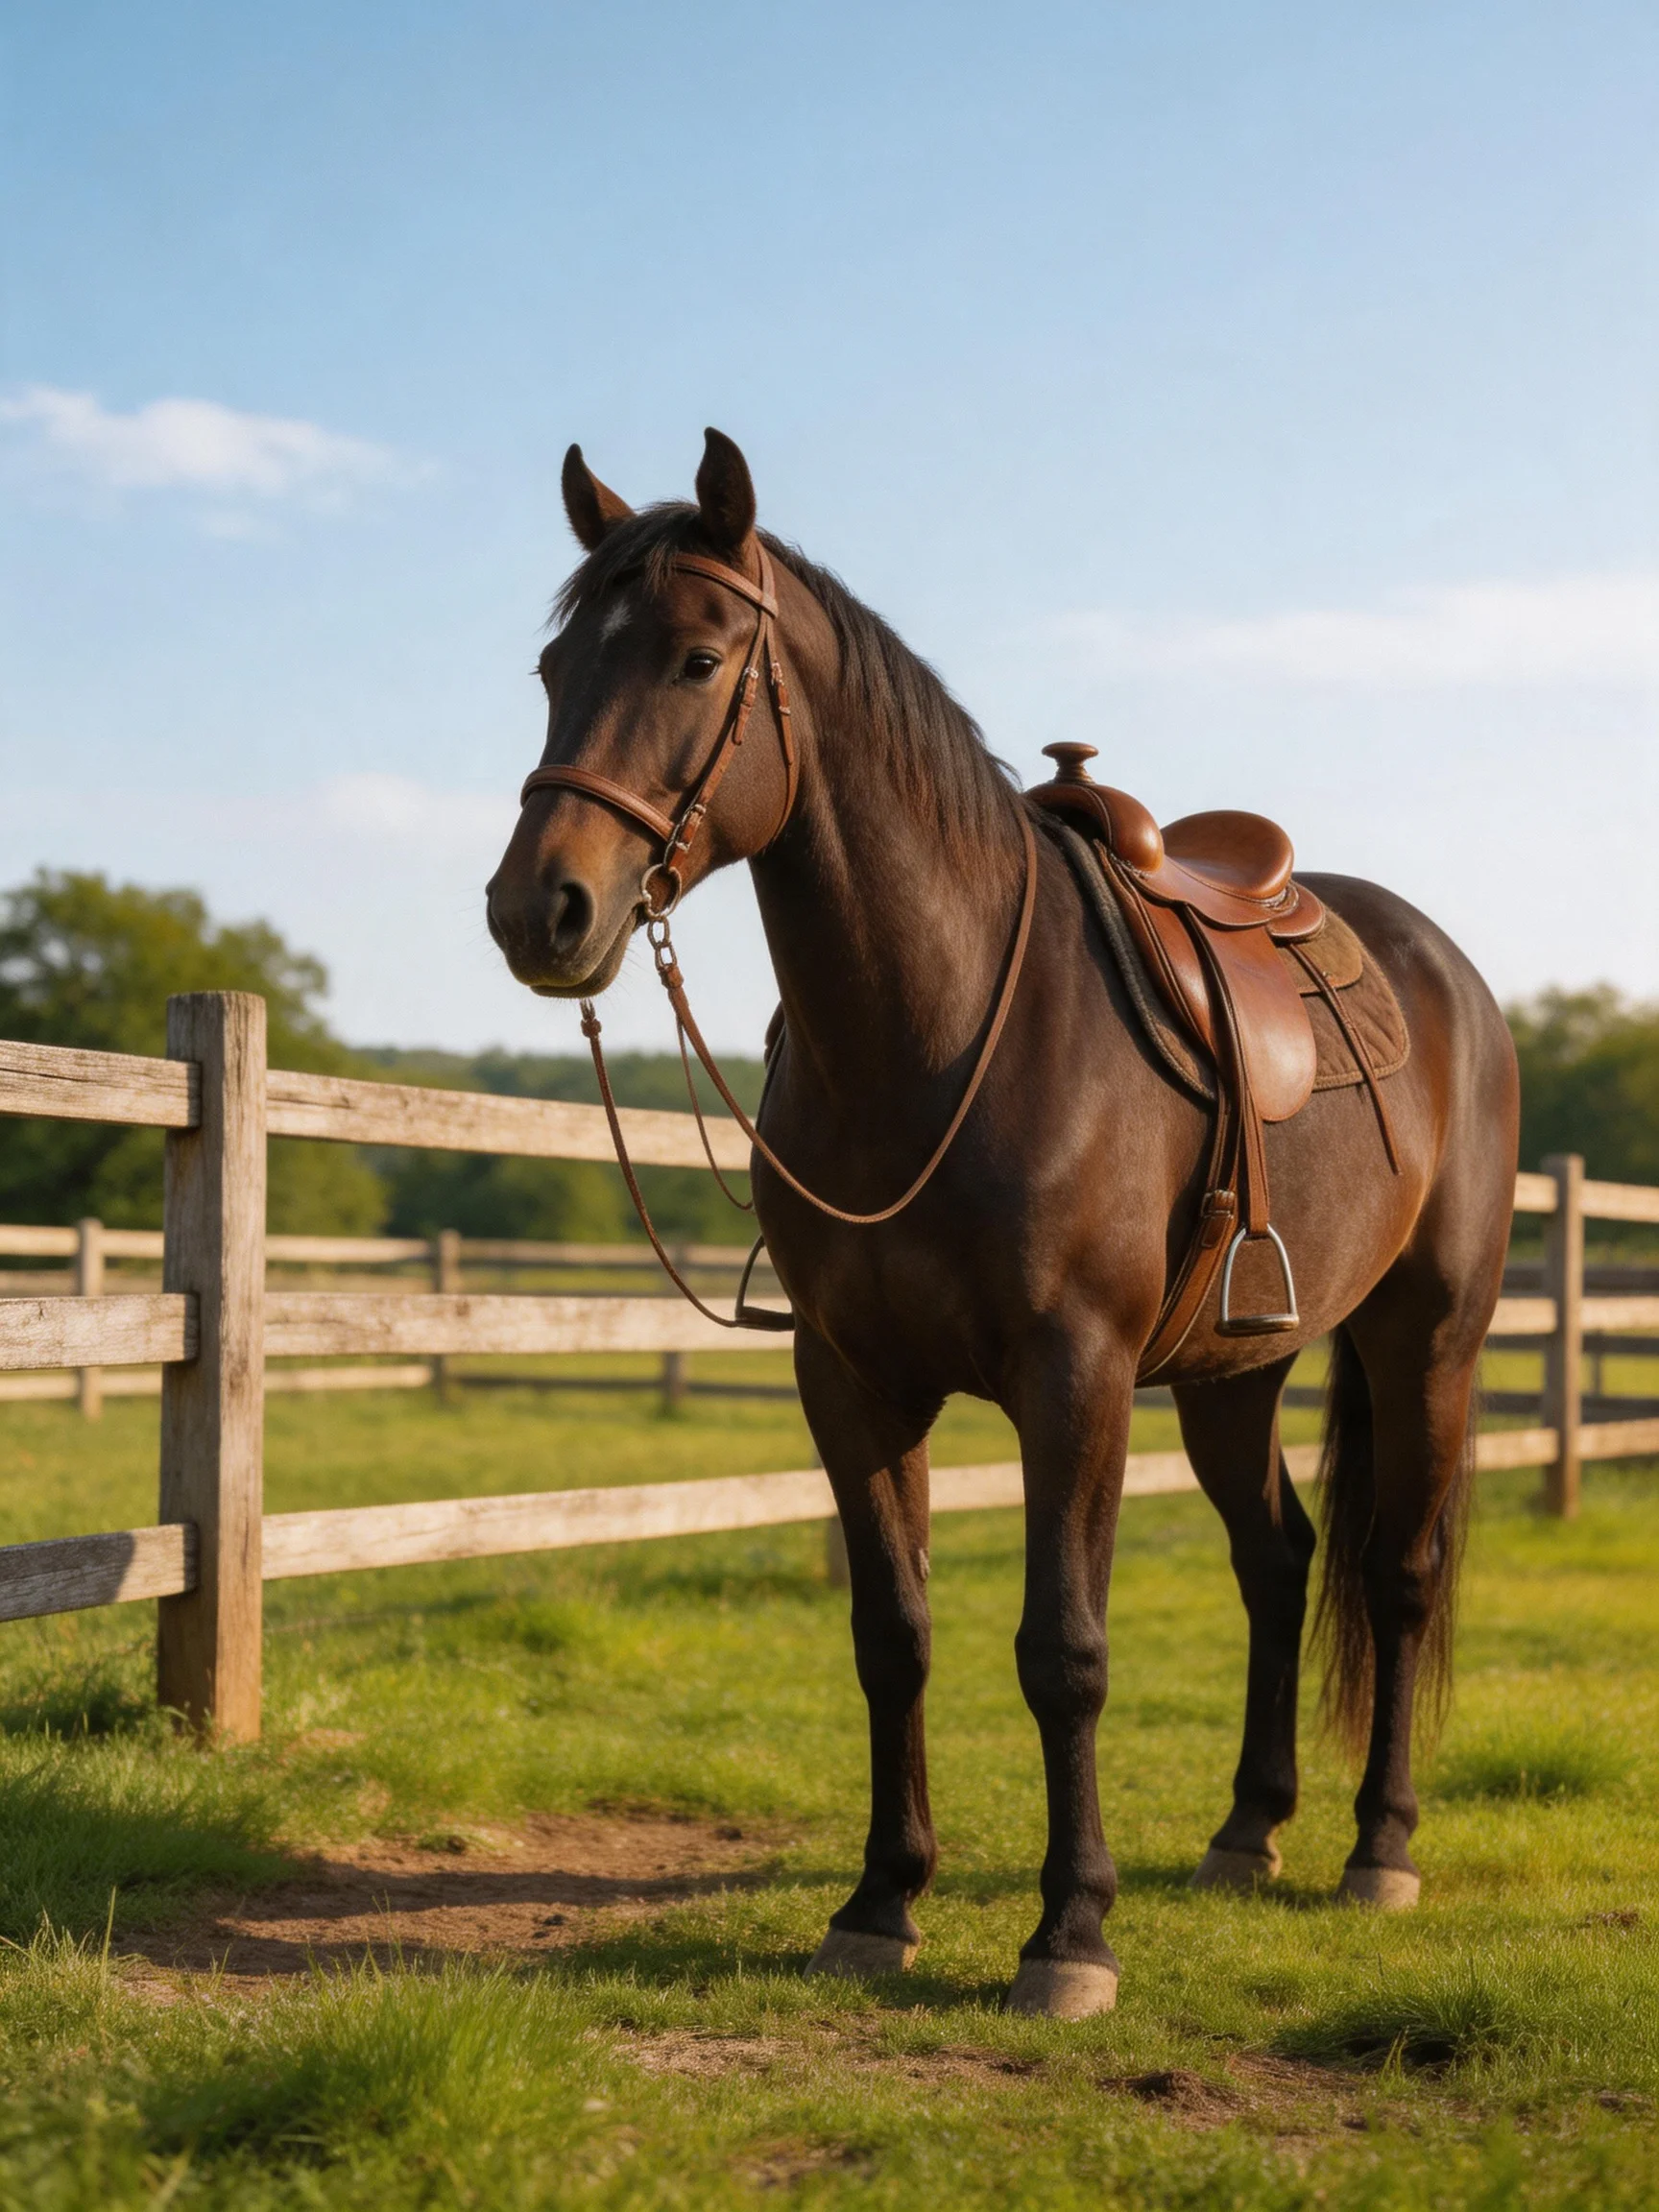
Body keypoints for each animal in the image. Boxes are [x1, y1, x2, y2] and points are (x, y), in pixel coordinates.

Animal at [485, 429, 1518, 2018]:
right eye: (552, 666)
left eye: (700, 657)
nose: (539, 909)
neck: (942, 1026)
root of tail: (1445, 967)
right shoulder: (850, 1380)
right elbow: (893, 1636)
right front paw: (879, 1904)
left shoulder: (1072, 1379)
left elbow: (1064, 1651)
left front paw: (1069, 1934)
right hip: (1235, 1373)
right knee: (1277, 1560)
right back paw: (1247, 1833)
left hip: (1430, 1342)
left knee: (1399, 1572)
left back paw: (1377, 1850)